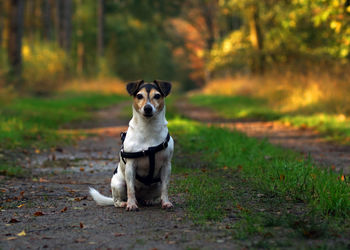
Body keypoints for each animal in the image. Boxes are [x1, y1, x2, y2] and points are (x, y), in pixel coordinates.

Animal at [89, 80, 174, 211]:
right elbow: (130, 188)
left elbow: (165, 188)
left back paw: (150, 200)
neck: (148, 128)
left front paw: (166, 203)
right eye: (139, 96)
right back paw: (124, 203)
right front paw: (131, 204)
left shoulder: (166, 166)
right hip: (118, 184)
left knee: (155, 194)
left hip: (157, 184)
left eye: (157, 96)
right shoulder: (130, 166)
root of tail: (141, 198)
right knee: (117, 200)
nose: (148, 108)